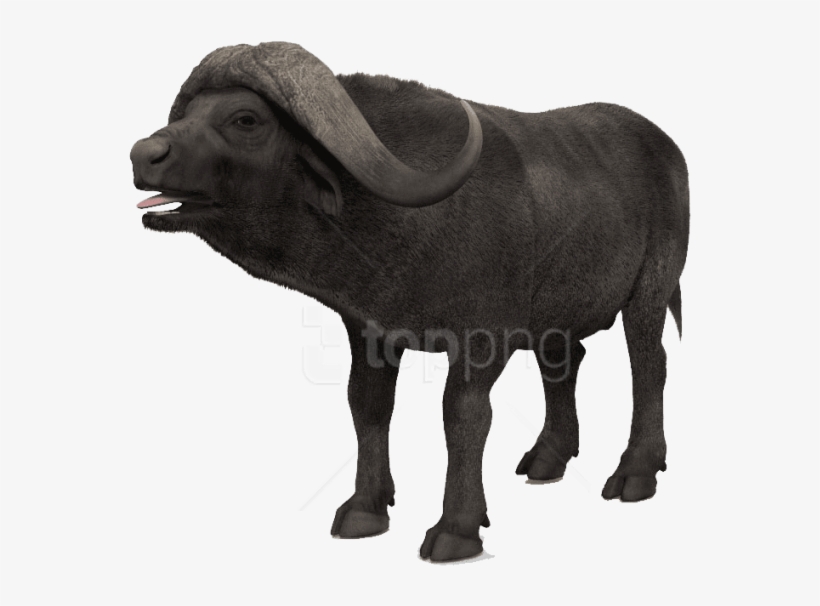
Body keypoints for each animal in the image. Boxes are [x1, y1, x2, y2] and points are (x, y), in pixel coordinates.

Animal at [131, 42, 689, 562]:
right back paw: (549, 458)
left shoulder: (481, 340)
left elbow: (462, 418)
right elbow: (367, 405)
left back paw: (636, 473)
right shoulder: (369, 331)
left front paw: (456, 528)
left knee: (649, 364)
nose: (142, 155)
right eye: (187, 114)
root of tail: (667, 148)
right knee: (565, 364)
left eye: (244, 118)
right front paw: (365, 508)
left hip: (652, 290)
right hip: (558, 313)